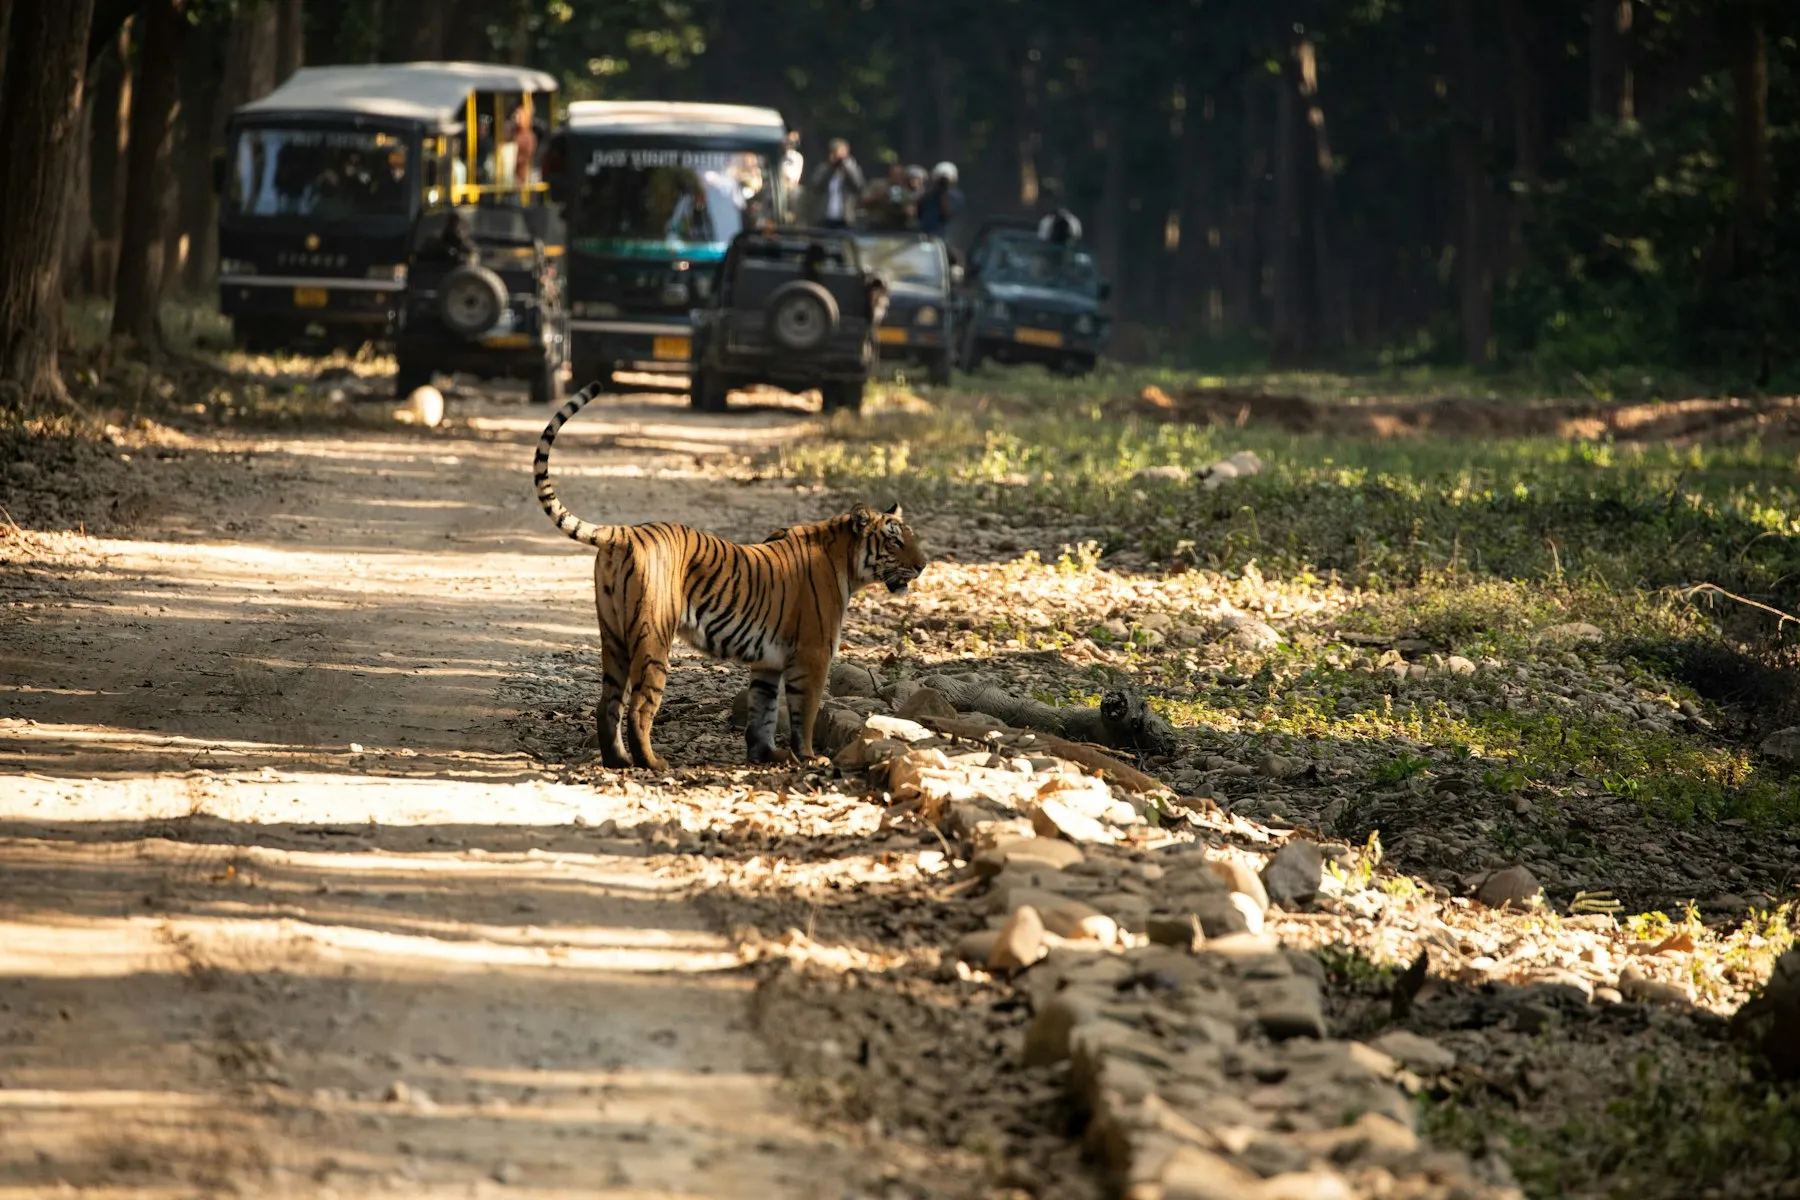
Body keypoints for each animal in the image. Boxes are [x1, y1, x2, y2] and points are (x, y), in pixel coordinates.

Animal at [533, 383, 927, 770]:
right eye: (895, 540)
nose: (924, 564)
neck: (845, 559)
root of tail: (625, 532)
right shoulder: (813, 654)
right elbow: (806, 712)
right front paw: (808, 757)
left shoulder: (769, 662)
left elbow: (763, 711)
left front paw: (766, 755)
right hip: (653, 637)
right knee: (640, 706)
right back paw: (653, 763)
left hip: (612, 634)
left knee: (608, 703)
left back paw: (617, 760)